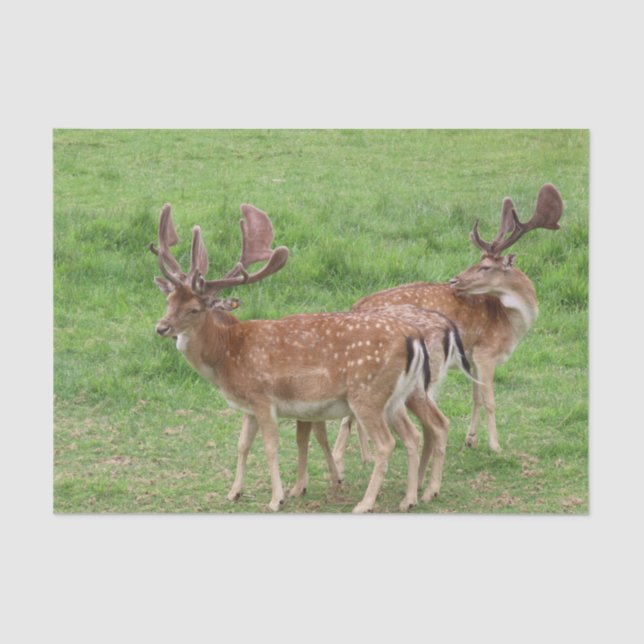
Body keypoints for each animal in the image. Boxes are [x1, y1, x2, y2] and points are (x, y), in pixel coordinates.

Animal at [150, 202, 437, 513]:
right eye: (168, 301)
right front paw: (234, 492)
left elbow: (270, 446)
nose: (161, 327)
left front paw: (276, 498)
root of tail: (413, 337)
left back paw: (366, 503)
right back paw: (409, 499)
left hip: (367, 393)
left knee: (387, 443)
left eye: (194, 309)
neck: (227, 356)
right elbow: (242, 444)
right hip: (396, 397)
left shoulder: (262, 396)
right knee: (412, 435)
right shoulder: (249, 406)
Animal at [331, 183, 563, 470]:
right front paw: (495, 446)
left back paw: (365, 456)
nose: (454, 280)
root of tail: (357, 305)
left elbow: (476, 396)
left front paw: (471, 440)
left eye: (486, 266)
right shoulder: (486, 353)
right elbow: (490, 399)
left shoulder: (473, 357)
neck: (511, 323)